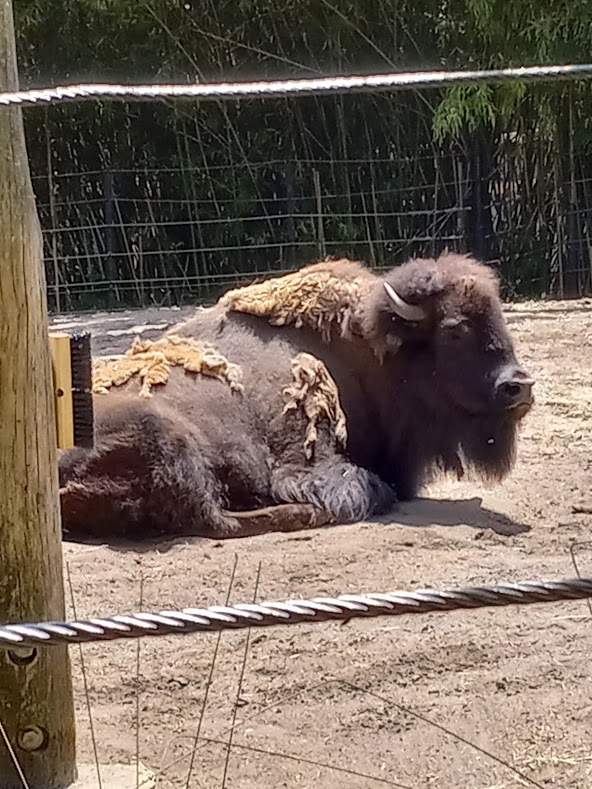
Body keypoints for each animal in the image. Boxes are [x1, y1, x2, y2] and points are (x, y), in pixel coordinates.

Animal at [58, 252, 534, 541]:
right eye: (454, 330)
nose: (519, 386)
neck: (367, 351)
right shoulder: (307, 461)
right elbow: (367, 488)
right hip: (164, 435)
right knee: (214, 518)